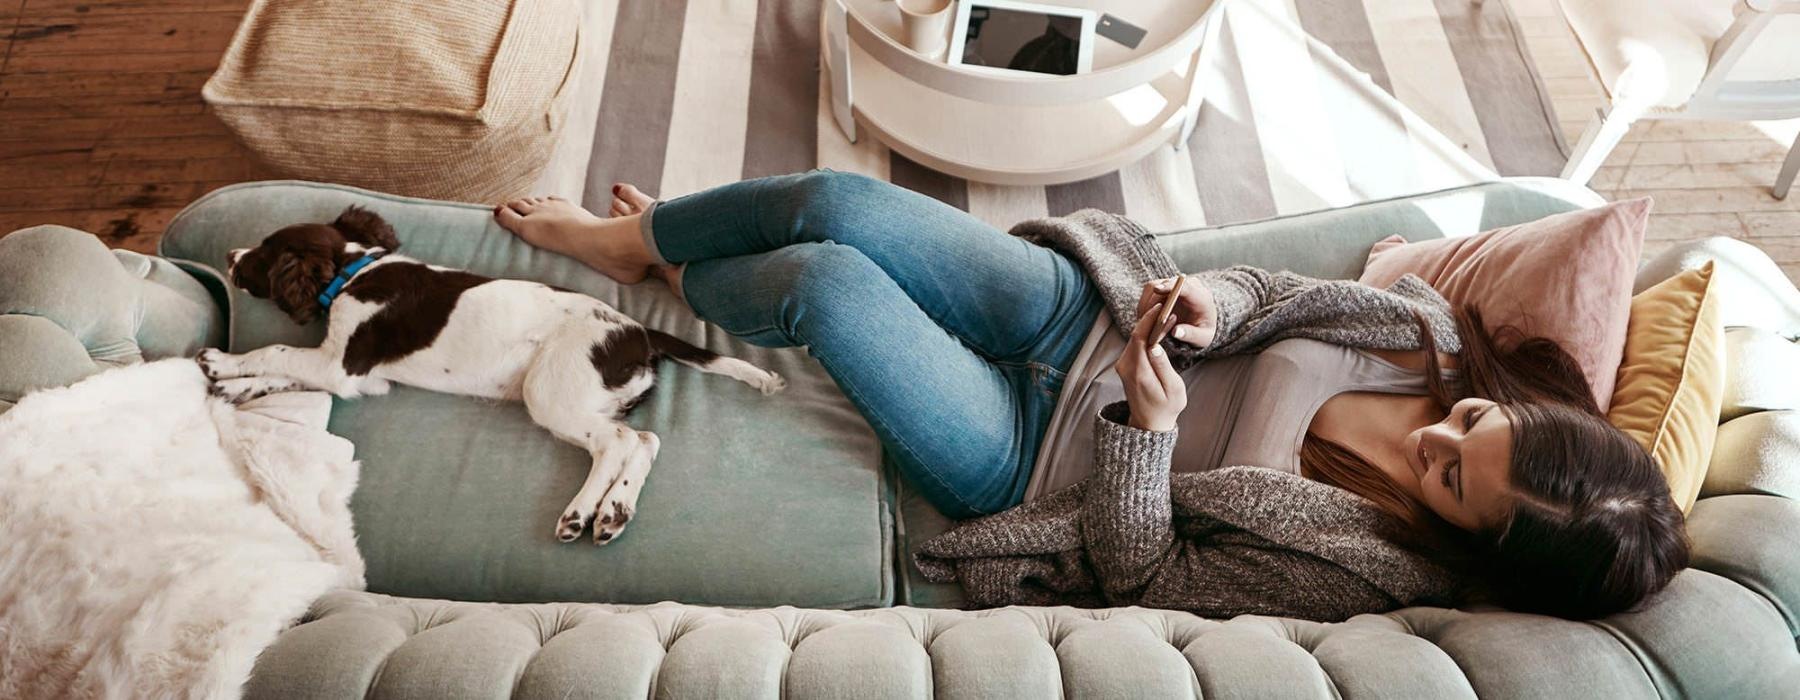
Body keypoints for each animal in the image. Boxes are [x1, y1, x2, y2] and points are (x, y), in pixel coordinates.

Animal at [200, 204, 784, 543]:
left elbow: (279, 350)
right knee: (644, 440)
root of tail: (638, 331)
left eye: (262, 256)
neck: (354, 270)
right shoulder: (356, 374)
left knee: (616, 443)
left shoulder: (343, 365)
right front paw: (235, 385)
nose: (228, 253)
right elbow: (284, 372)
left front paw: (225, 363)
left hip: (550, 390)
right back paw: (613, 511)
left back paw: (581, 513)